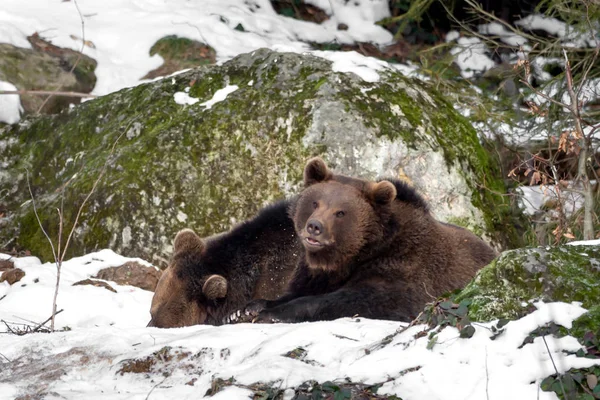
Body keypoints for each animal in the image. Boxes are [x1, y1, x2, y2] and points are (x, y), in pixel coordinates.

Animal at [238, 158, 496, 324]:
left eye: (340, 212)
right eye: (315, 202)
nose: (314, 227)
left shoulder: (401, 266)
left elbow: (361, 300)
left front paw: (273, 314)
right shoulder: (315, 274)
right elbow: (296, 290)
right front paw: (252, 307)